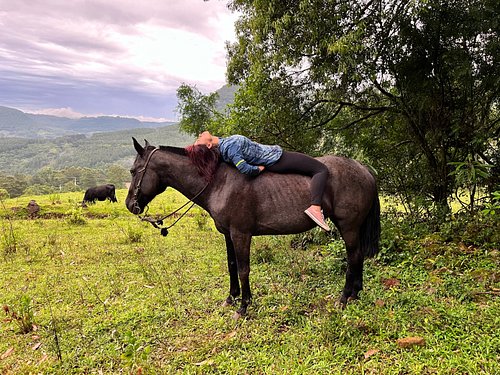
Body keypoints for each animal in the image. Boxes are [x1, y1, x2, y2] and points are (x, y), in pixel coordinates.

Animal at [125, 137, 378, 318]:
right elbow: (232, 266)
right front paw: (231, 298)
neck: (219, 182)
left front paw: (244, 307)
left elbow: (244, 269)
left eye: (133, 171)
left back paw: (344, 298)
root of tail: (363, 169)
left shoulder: (241, 234)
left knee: (353, 257)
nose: (129, 205)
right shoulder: (228, 234)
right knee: (358, 257)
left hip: (348, 226)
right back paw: (356, 293)